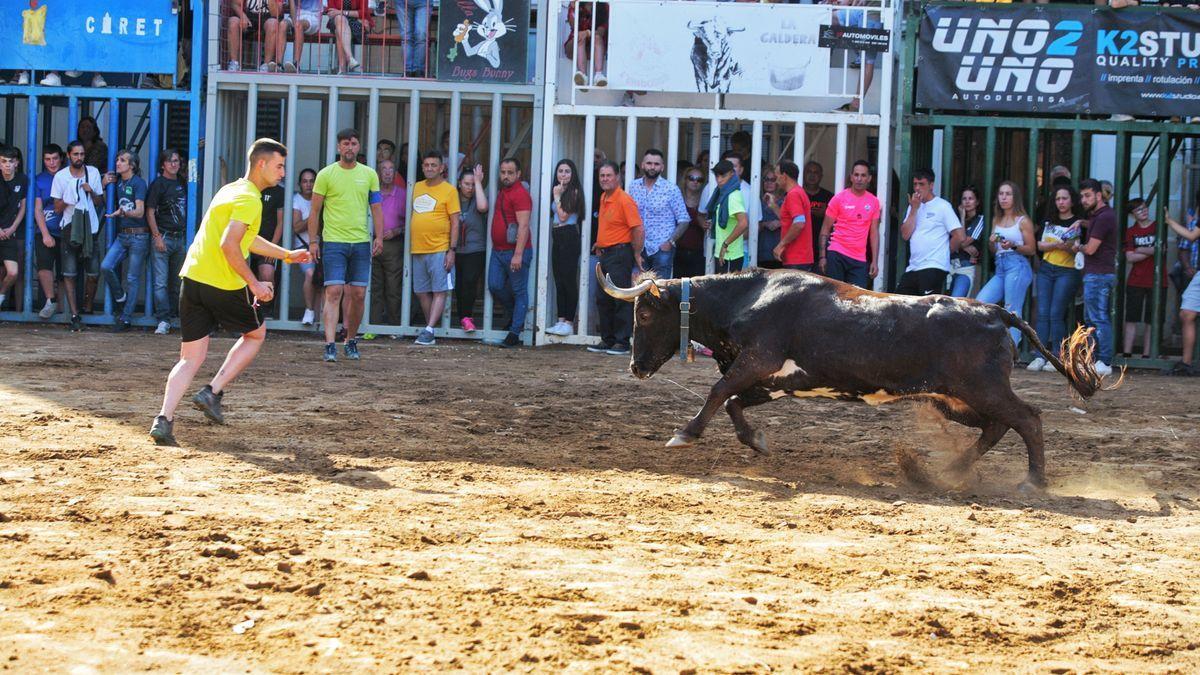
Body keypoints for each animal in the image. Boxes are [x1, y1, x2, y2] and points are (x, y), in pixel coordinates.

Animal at [597, 263, 1104, 487]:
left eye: (644, 315)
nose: (636, 366)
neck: (748, 296)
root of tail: (997, 311)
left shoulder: (756, 361)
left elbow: (718, 390)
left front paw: (684, 434)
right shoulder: (777, 381)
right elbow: (735, 402)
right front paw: (756, 441)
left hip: (981, 388)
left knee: (1028, 419)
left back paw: (1033, 481)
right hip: (955, 400)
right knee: (997, 427)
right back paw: (948, 470)